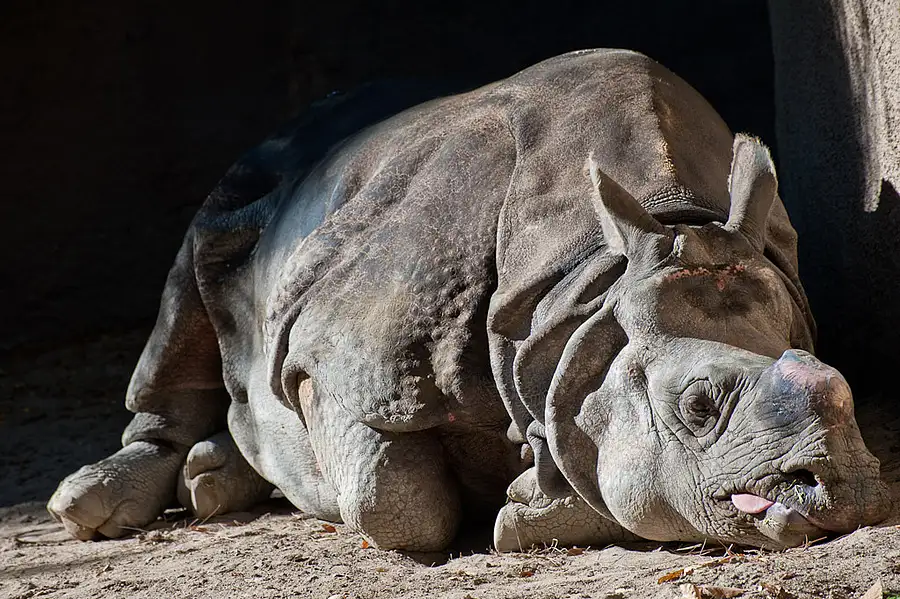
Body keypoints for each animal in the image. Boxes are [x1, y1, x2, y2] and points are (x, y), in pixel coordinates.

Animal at [48, 49, 892, 552]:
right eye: (698, 405)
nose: (842, 490)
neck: (586, 294)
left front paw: (524, 501)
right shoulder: (337, 360)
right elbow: (395, 502)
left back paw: (214, 478)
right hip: (250, 178)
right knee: (191, 280)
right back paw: (100, 499)